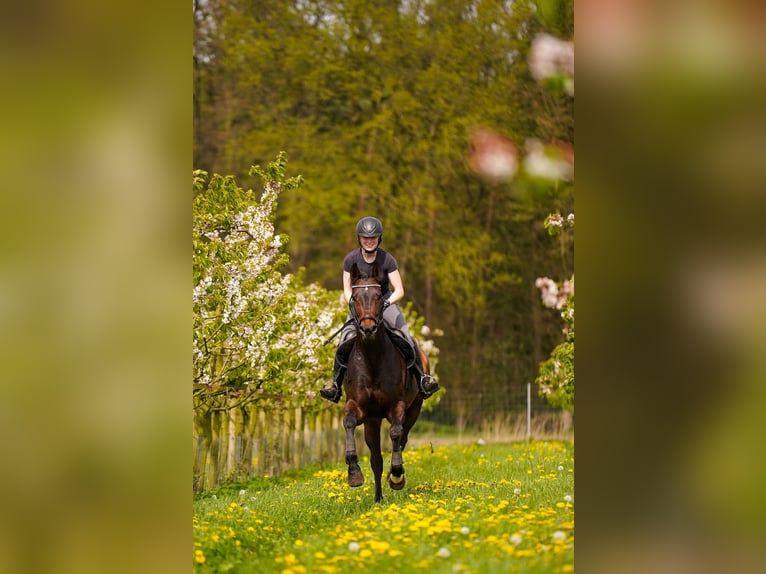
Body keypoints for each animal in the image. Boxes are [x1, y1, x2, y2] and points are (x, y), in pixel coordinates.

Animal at [342, 262, 427, 503]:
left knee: (403, 438)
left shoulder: (397, 406)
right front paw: (354, 473)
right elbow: (348, 423)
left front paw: (397, 474)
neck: (373, 357)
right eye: (354, 297)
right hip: (373, 420)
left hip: (414, 408)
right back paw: (378, 498)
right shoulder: (359, 407)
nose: (368, 328)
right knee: (376, 459)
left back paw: (394, 476)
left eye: (380, 296)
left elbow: (396, 434)